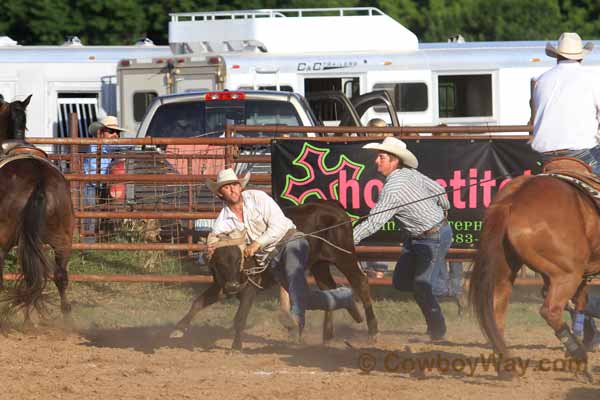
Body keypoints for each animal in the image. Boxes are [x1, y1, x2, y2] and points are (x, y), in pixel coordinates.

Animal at [468, 172, 600, 376]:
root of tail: (513, 200)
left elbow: (581, 304)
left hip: (504, 272)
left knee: (496, 313)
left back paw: (506, 367)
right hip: (567, 274)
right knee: (551, 310)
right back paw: (581, 359)